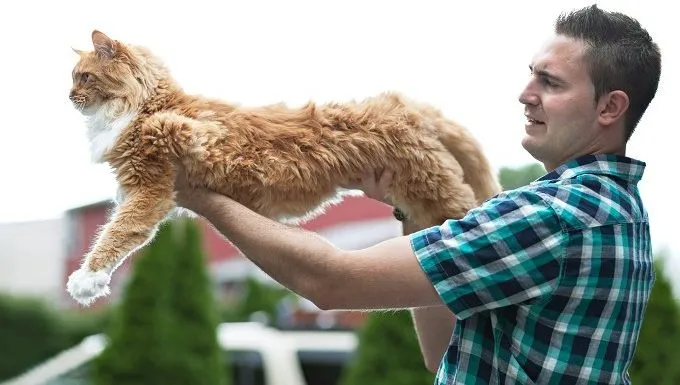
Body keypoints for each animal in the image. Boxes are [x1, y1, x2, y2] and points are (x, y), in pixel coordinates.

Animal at [66, 30, 502, 306]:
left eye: (83, 77)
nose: (69, 97)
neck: (145, 103)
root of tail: (406, 105)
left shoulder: (154, 183)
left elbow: (118, 231)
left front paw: (85, 280)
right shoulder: (154, 192)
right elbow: (124, 229)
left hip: (436, 188)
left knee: (472, 211)